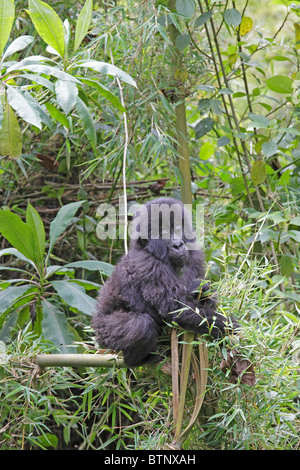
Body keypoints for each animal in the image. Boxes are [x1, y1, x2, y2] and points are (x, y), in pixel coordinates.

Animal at [92, 197, 238, 368]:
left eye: (178, 229)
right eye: (165, 234)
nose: (178, 245)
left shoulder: (194, 255)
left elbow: (205, 297)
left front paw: (202, 291)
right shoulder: (147, 264)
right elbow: (177, 308)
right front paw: (232, 327)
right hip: (104, 333)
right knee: (140, 325)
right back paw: (138, 360)